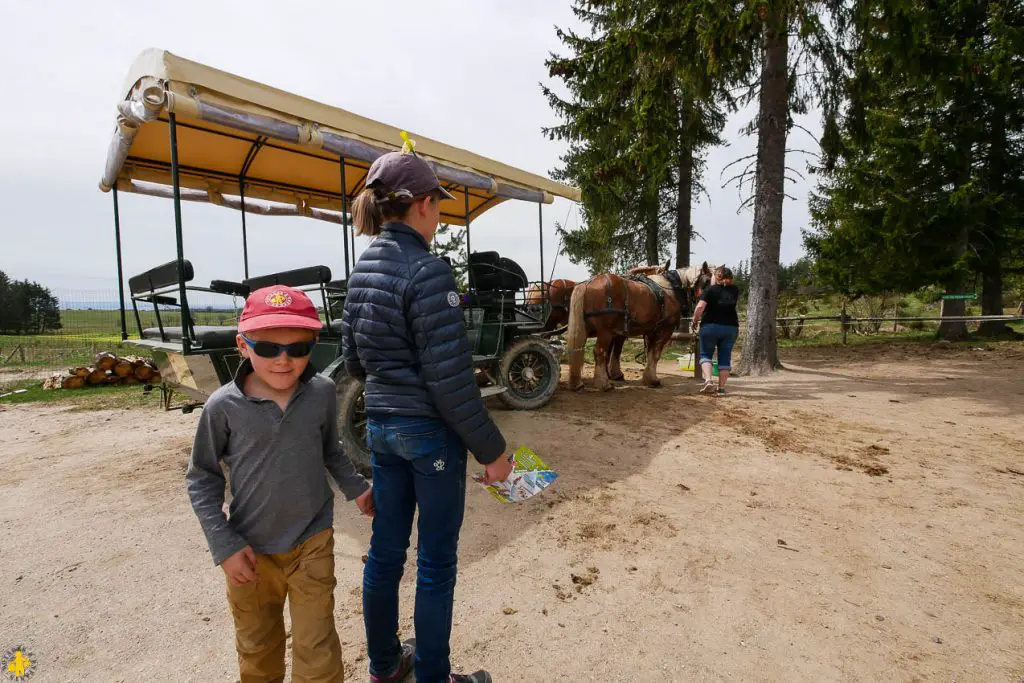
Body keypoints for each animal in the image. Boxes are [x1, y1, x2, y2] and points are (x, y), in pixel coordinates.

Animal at [565, 262, 716, 389]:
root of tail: (587, 284)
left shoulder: (644, 331)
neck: (670, 289)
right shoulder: (664, 330)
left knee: (578, 350)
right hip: (605, 332)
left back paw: (577, 382)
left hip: (585, 329)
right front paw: (652, 380)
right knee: (599, 352)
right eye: (707, 281)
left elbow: (641, 353)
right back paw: (603, 383)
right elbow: (654, 354)